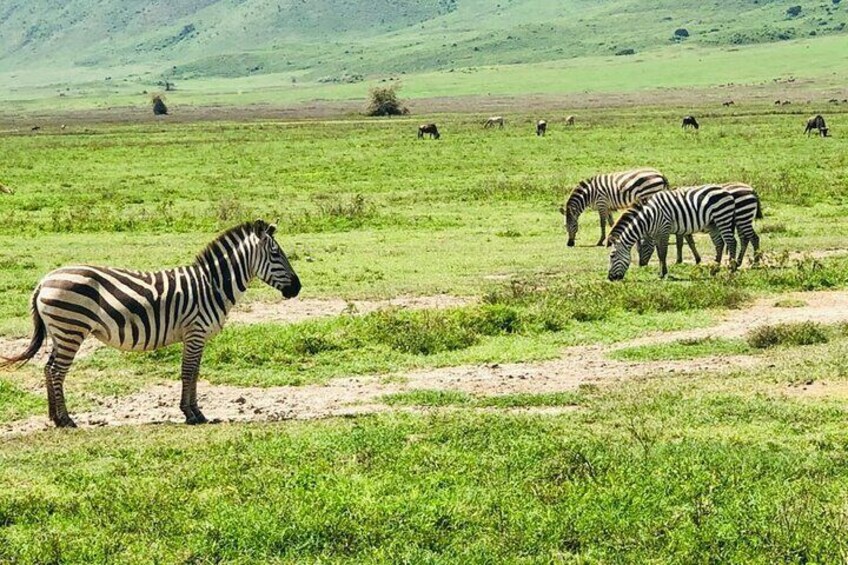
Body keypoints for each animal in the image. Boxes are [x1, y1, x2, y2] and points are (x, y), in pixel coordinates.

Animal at [0, 220, 302, 428]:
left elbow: (194, 373)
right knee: (56, 371)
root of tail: (44, 281)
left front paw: (194, 411)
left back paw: (54, 417)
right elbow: (188, 372)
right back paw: (66, 419)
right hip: (71, 328)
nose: (297, 288)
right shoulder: (195, 331)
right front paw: (192, 413)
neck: (212, 285)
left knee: (48, 368)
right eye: (276, 254)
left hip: (61, 331)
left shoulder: (196, 336)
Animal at [608, 185, 740, 280]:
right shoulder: (658, 234)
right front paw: (661, 273)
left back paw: (731, 269)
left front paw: (664, 274)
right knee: (719, 244)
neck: (650, 217)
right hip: (713, 224)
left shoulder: (664, 229)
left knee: (731, 242)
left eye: (612, 256)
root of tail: (727, 192)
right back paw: (714, 270)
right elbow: (659, 253)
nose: (610, 278)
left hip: (722, 217)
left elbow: (663, 253)